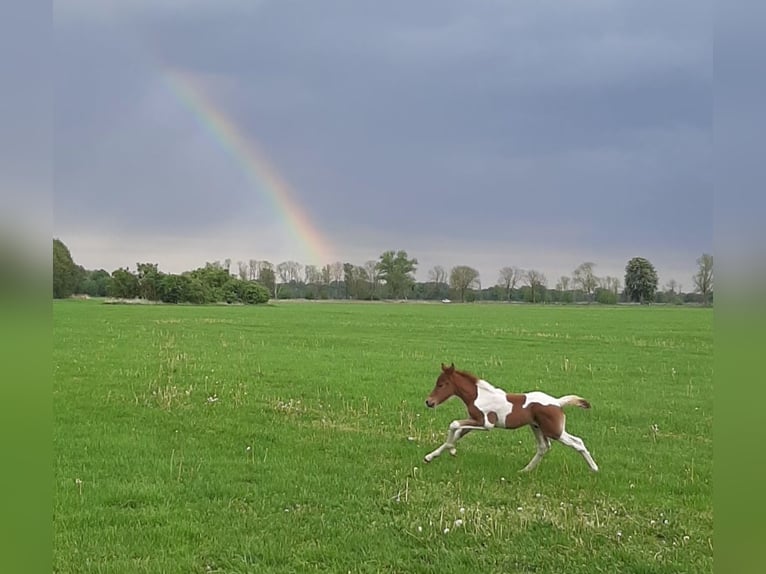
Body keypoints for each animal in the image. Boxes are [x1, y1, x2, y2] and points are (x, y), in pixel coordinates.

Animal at [426, 364, 600, 472]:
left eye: (442, 384)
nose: (429, 402)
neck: (478, 396)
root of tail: (557, 402)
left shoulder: (486, 423)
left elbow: (454, 424)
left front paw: (452, 450)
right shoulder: (473, 421)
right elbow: (456, 433)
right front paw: (431, 456)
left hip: (554, 430)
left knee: (578, 442)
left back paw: (594, 469)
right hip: (536, 427)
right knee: (543, 447)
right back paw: (525, 470)